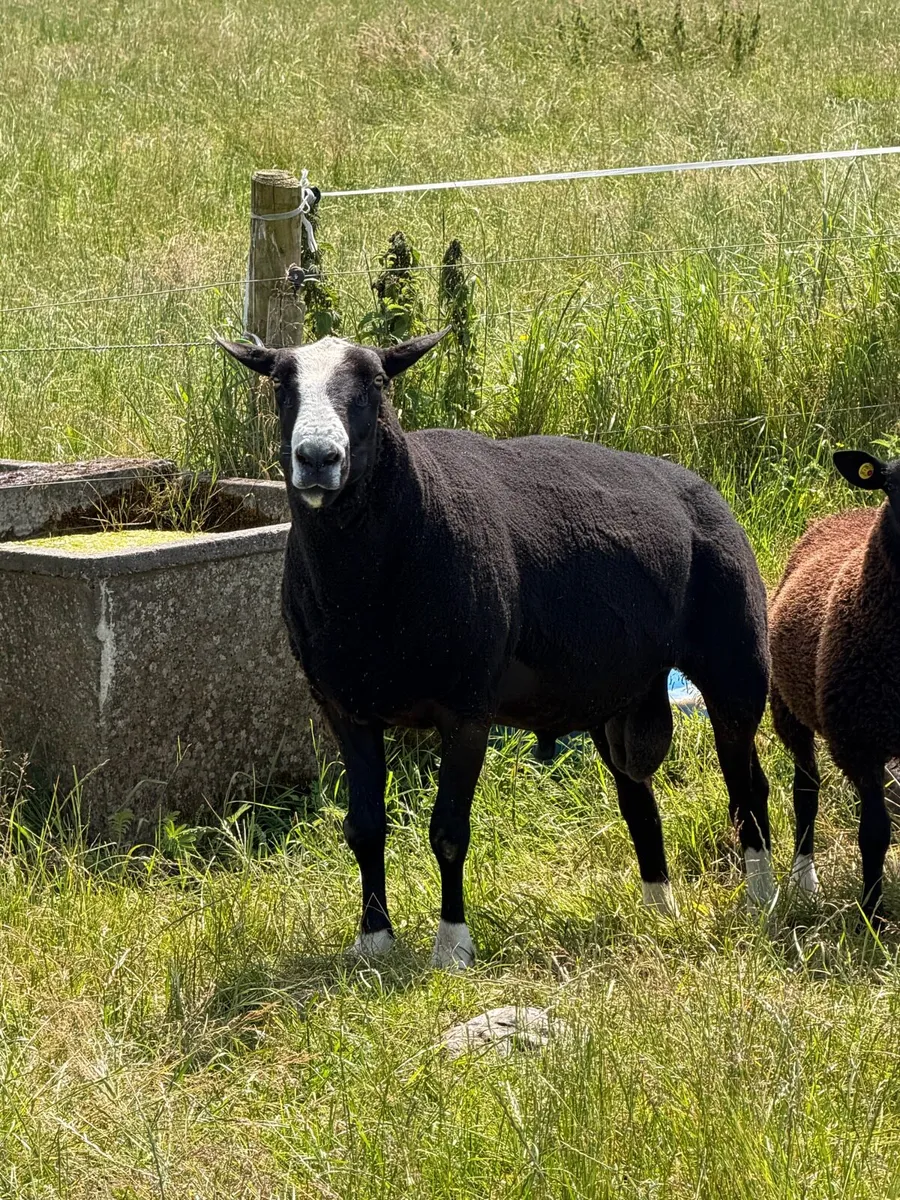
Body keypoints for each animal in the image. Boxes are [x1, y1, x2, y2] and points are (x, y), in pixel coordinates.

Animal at [217, 330, 775, 967]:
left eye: (376, 382)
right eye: (279, 383)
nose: (316, 458)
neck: (367, 589)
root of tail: (701, 489)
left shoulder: (468, 708)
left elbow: (448, 832)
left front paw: (453, 946)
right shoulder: (344, 709)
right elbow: (364, 828)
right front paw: (374, 942)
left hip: (736, 665)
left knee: (747, 786)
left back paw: (769, 895)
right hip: (617, 694)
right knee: (639, 798)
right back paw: (660, 910)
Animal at [770, 449, 900, 923]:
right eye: (892, 487)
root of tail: (844, 513)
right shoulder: (857, 743)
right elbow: (874, 834)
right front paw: (873, 917)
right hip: (787, 707)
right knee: (806, 790)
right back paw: (803, 881)